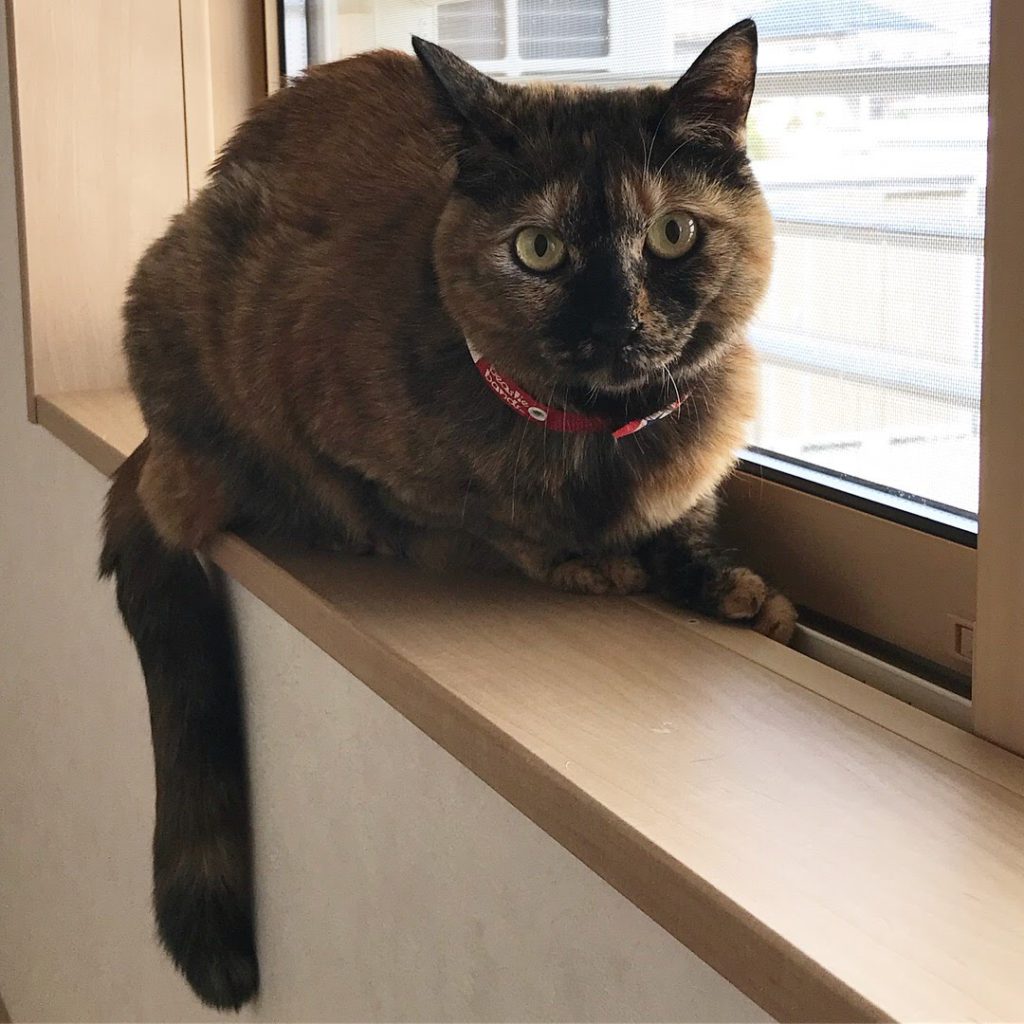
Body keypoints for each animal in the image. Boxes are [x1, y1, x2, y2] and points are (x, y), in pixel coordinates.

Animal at [99, 18, 796, 1010]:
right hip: (186, 299)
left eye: (673, 234)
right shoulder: (329, 424)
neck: (601, 441)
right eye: (538, 250)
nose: (613, 322)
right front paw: (583, 559)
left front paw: (732, 585)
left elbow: (689, 521)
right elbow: (469, 518)